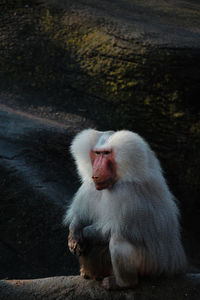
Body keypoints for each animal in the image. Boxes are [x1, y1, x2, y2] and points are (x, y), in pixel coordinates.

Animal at [63, 128, 187, 288]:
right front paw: (74, 234)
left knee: (118, 241)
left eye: (106, 153)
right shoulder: (90, 187)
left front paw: (84, 234)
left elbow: (113, 229)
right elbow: (81, 217)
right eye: (97, 153)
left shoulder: (126, 194)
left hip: (151, 266)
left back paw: (121, 283)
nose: (96, 173)